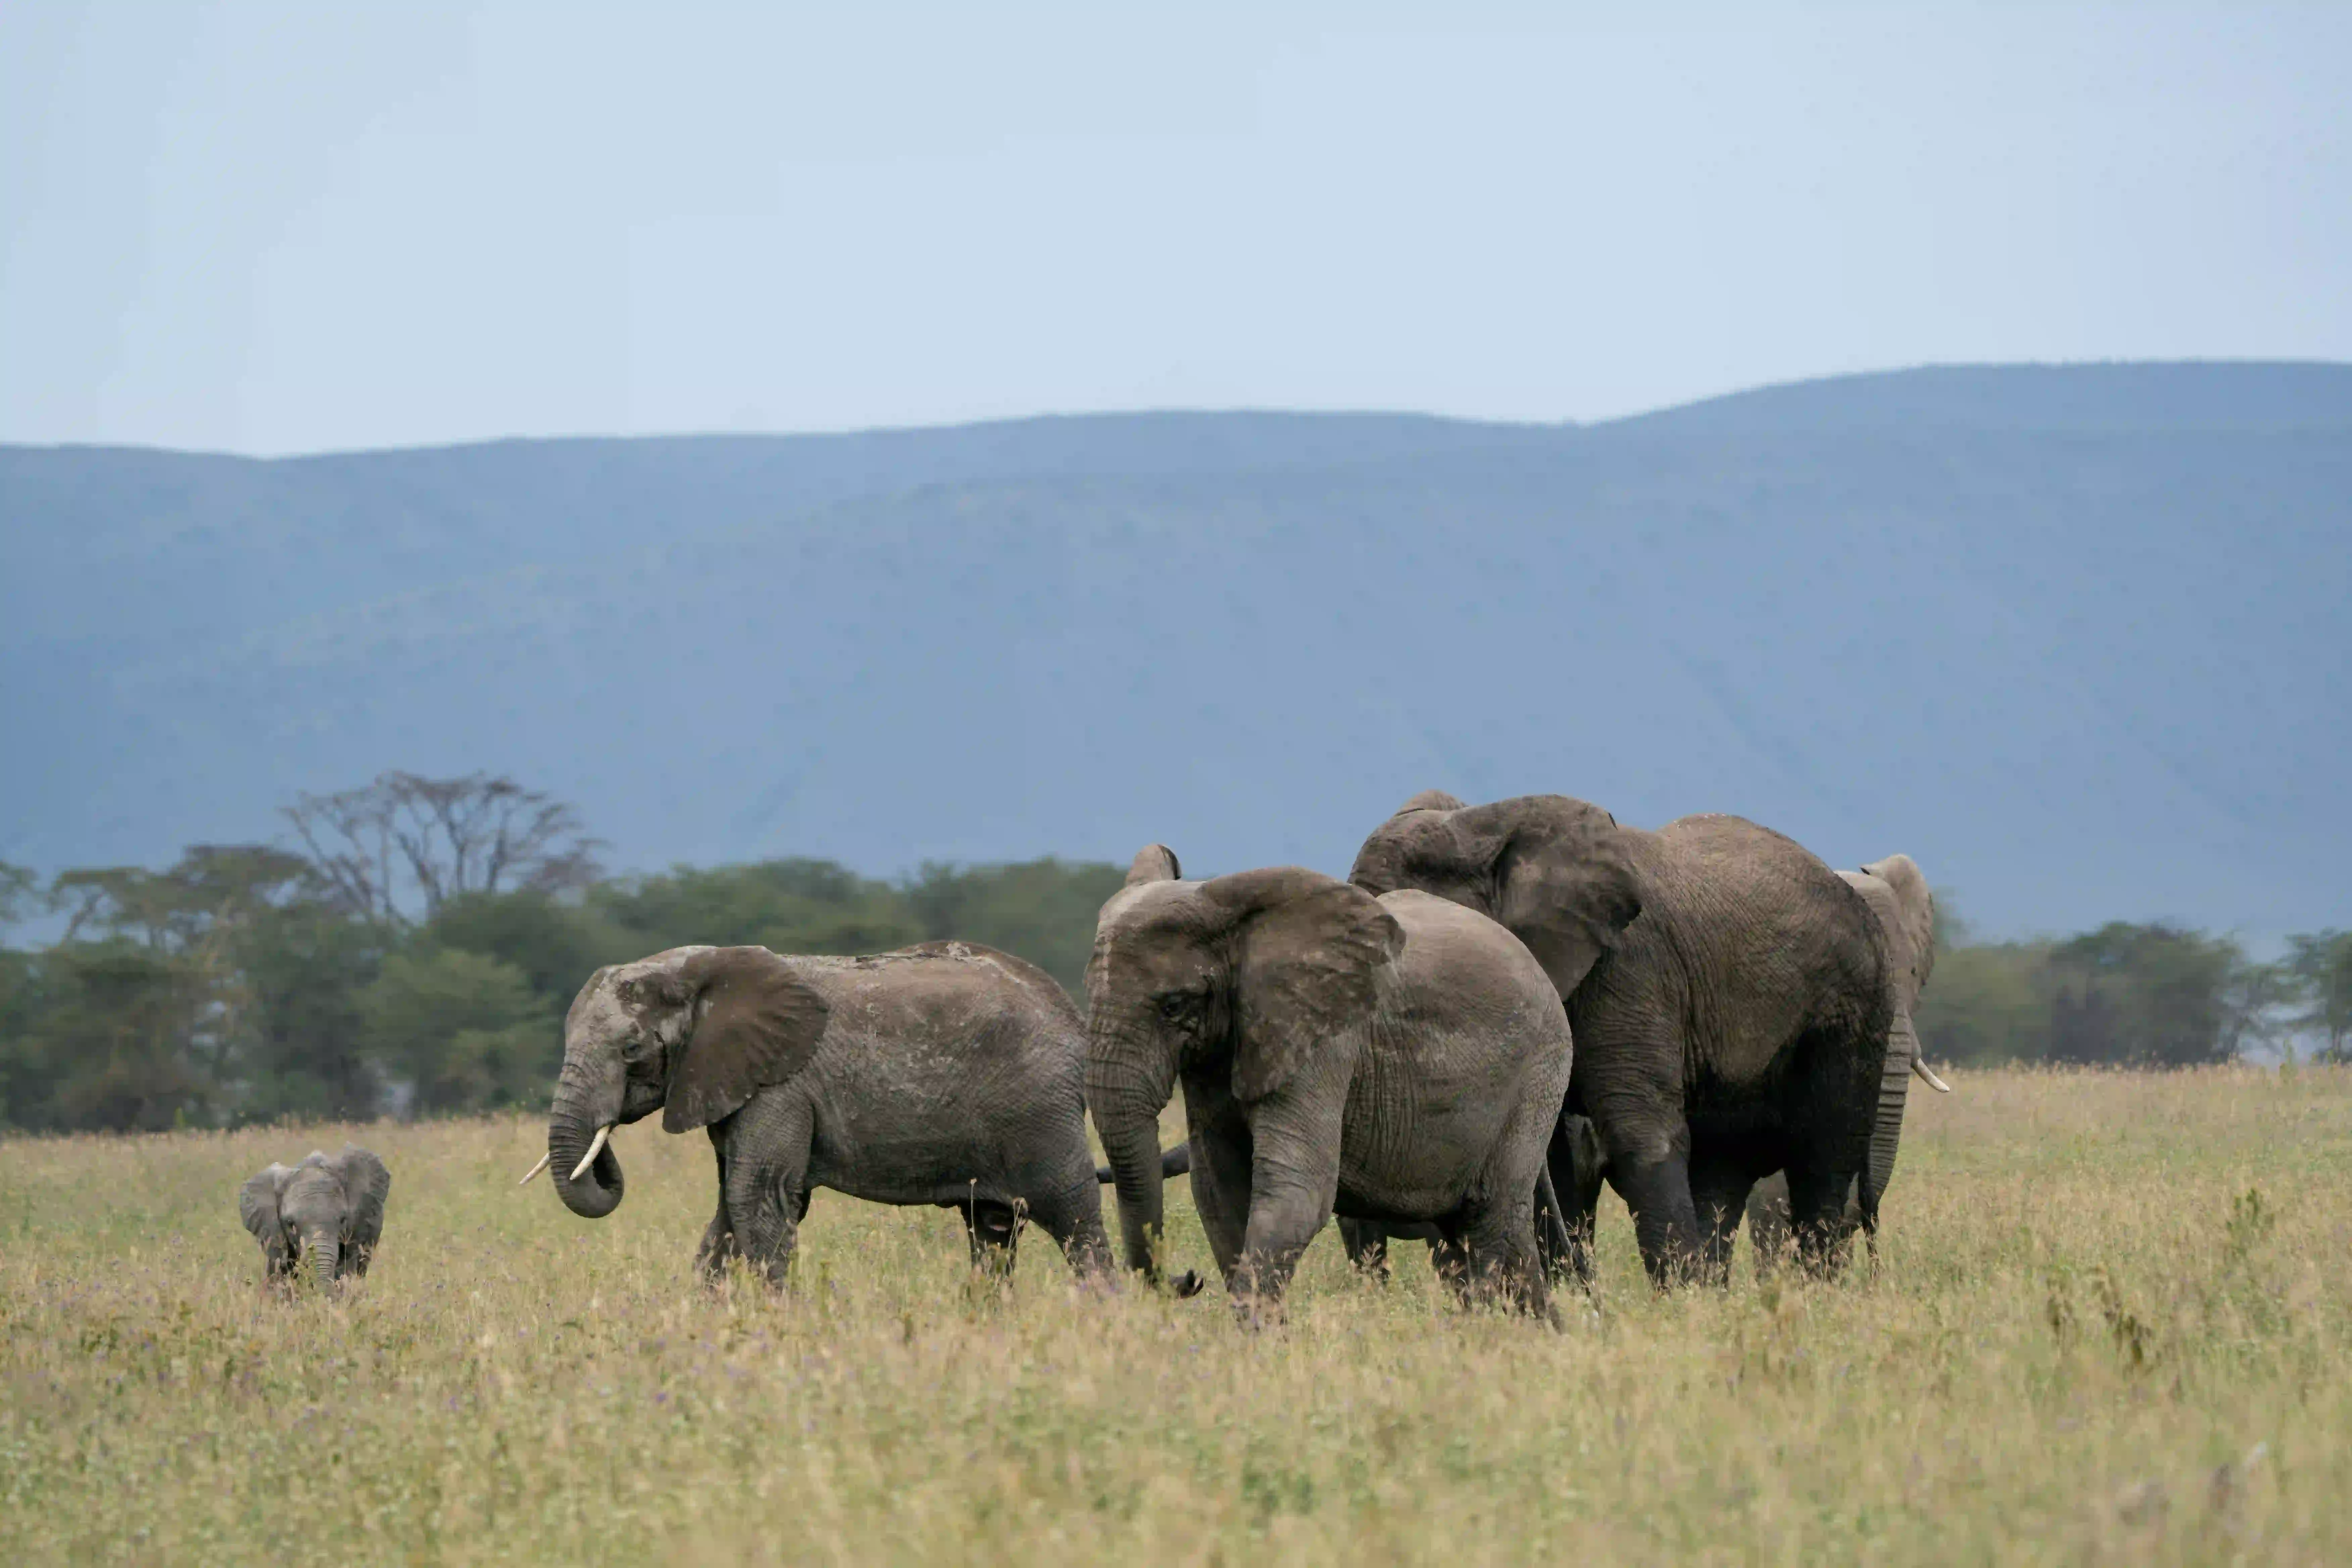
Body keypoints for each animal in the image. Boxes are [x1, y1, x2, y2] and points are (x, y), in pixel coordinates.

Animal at [524, 940, 1114, 1285]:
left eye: (630, 1050)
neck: (697, 971)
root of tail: (1070, 1012)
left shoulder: (781, 1085)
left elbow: (758, 1197)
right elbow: (728, 1208)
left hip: (1040, 1112)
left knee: (1072, 1215)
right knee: (992, 1227)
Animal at [1086, 845, 1575, 1324]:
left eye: (1173, 1006)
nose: (1187, 1279)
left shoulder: (1327, 1040)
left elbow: (1297, 1192)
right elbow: (1218, 1191)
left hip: (1538, 1072)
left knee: (1490, 1221)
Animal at [1350, 791, 1941, 1286]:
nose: (1587, 1290)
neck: (1481, 826)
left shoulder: (1631, 967)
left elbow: (1641, 1136)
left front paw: (1676, 1304)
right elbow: (1554, 1156)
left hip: (1852, 1006)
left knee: (1823, 1160)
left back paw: (1810, 1296)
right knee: (1720, 1174)